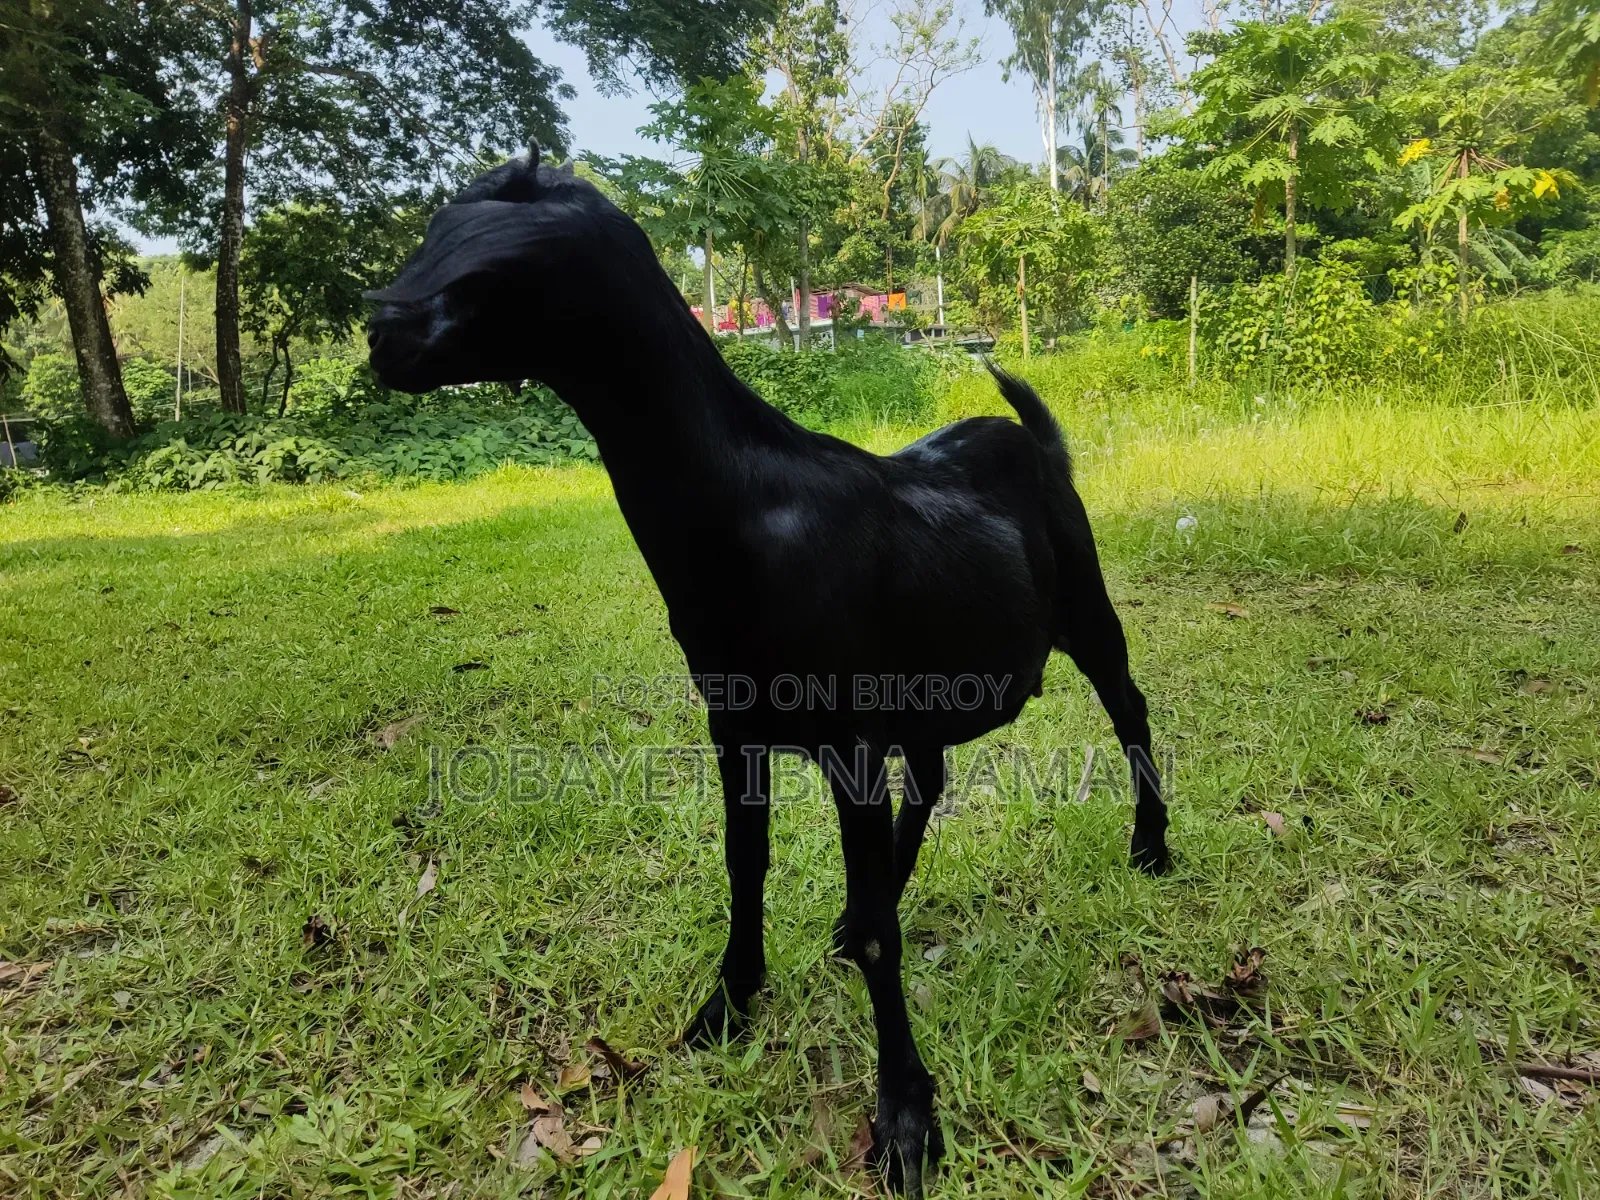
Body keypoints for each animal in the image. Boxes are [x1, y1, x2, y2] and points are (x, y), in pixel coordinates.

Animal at [366, 144, 1169, 1196]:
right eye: (435, 235)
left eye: (497, 272)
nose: (379, 335)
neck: (742, 514)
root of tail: (1034, 438)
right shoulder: (736, 722)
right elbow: (746, 863)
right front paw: (730, 1003)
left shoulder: (850, 737)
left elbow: (878, 937)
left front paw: (906, 1117)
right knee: (933, 777)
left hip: (1082, 601)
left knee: (1129, 707)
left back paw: (1152, 846)